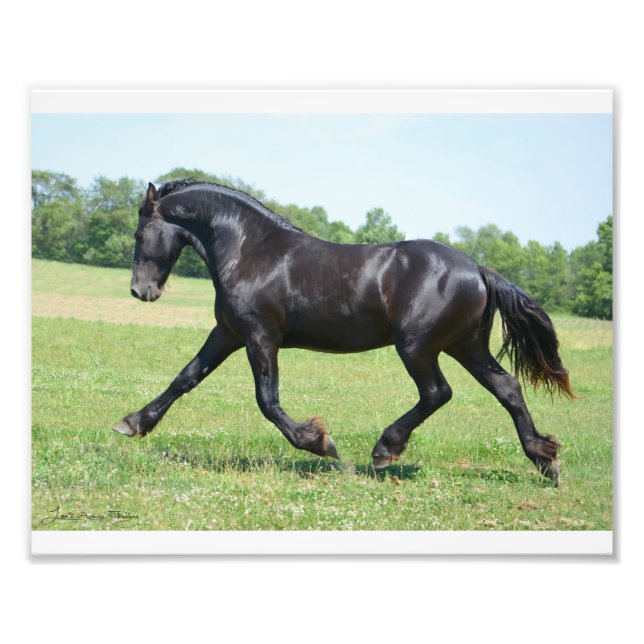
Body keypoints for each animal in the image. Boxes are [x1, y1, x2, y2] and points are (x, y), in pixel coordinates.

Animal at [114, 179, 573, 484]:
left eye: (139, 233)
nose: (140, 291)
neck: (250, 250)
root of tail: (477, 268)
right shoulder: (227, 333)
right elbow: (185, 378)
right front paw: (133, 422)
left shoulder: (260, 338)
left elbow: (267, 401)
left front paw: (320, 443)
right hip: (466, 346)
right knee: (508, 389)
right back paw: (545, 460)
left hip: (417, 347)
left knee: (437, 392)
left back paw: (385, 450)